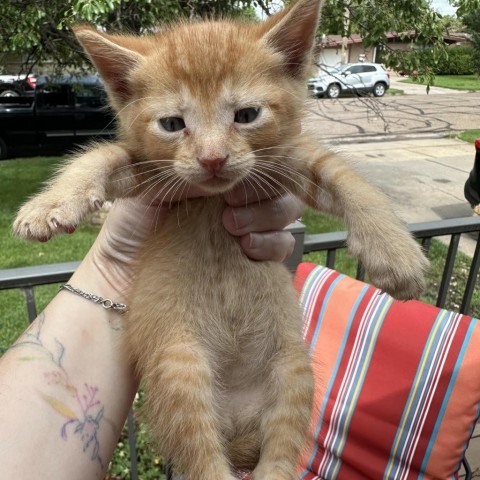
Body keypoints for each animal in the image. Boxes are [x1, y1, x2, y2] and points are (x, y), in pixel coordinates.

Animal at [13, 1, 430, 478]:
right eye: (172, 124)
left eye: (246, 115)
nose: (212, 159)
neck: (215, 198)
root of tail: (235, 422)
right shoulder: (147, 172)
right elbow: (101, 155)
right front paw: (49, 204)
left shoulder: (289, 159)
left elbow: (344, 177)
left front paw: (395, 253)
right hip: (181, 369)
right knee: (204, 458)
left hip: (293, 370)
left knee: (279, 454)